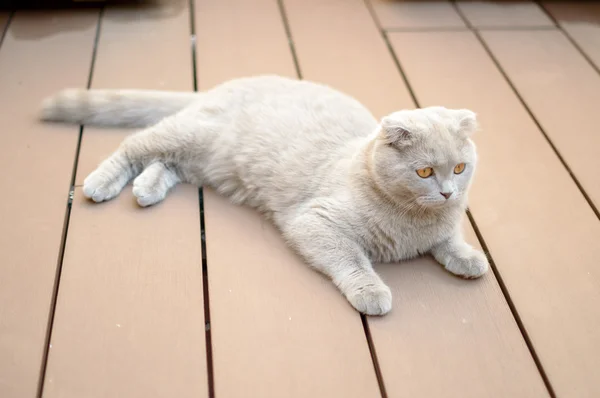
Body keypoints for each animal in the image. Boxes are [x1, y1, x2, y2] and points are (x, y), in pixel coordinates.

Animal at [43, 76, 492, 316]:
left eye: (459, 168)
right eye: (424, 172)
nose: (448, 192)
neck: (413, 222)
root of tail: (218, 87)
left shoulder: (445, 226)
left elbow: (451, 240)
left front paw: (470, 258)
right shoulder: (315, 222)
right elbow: (352, 260)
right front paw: (372, 292)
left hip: (203, 159)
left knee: (165, 165)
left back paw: (146, 188)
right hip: (190, 136)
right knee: (134, 146)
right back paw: (101, 183)